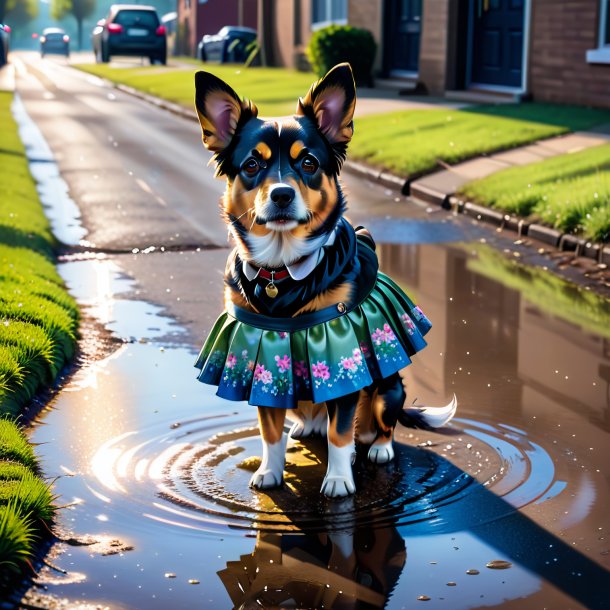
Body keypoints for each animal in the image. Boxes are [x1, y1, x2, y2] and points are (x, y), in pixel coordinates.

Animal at [192, 63, 454, 494]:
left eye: (310, 163)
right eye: (252, 165)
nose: (282, 194)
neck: (283, 271)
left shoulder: (342, 359)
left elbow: (340, 433)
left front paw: (338, 480)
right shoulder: (265, 363)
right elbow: (269, 431)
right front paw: (270, 472)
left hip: (389, 389)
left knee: (379, 425)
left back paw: (378, 448)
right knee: (311, 421)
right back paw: (307, 427)